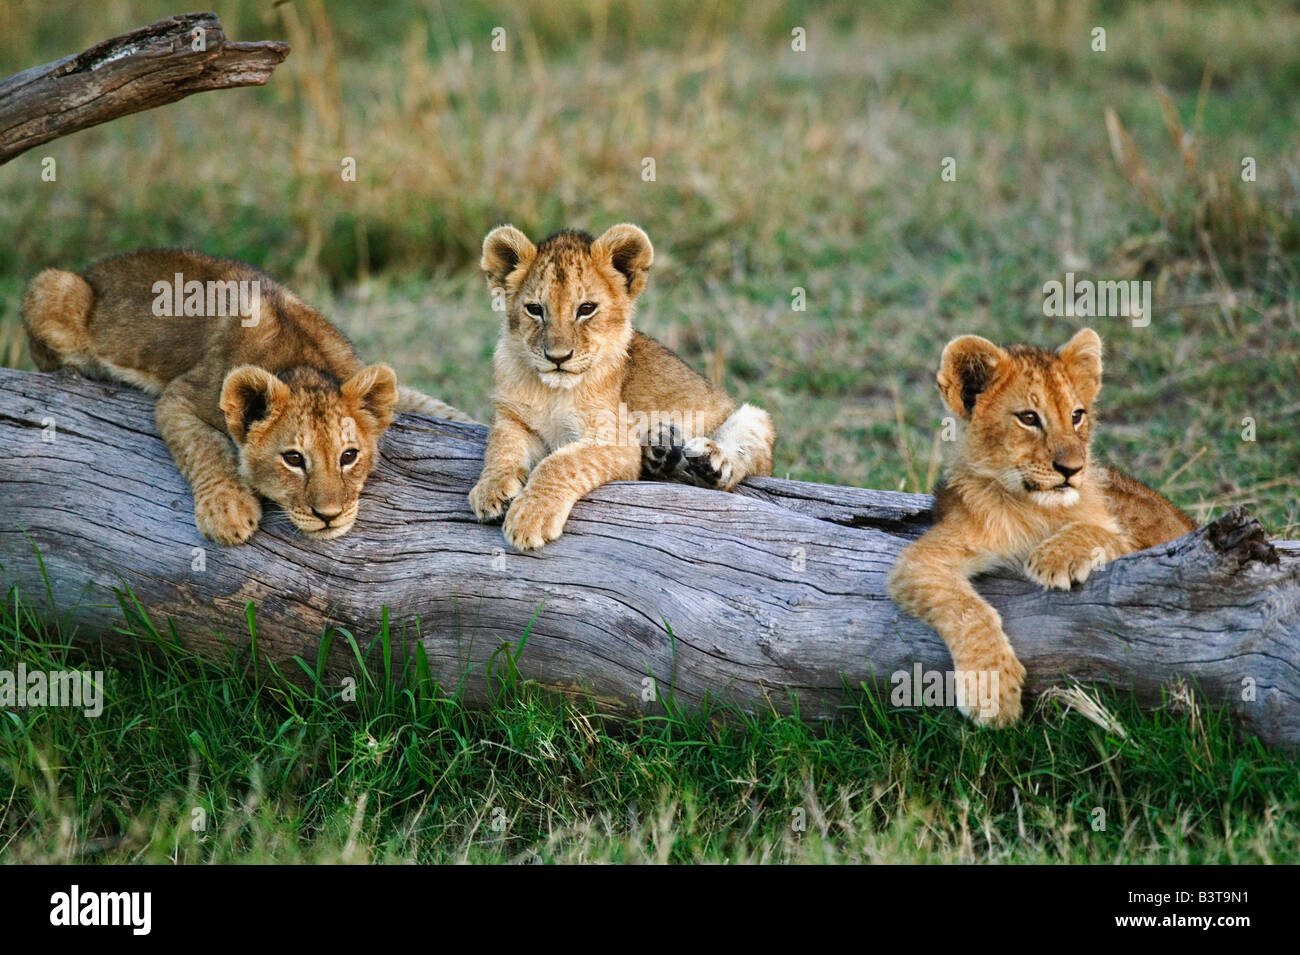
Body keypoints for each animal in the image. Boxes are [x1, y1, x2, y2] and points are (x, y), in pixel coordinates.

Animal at [21, 248, 474, 545]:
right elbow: (206, 447)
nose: (329, 517)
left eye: (349, 456)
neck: (302, 360)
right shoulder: (181, 396)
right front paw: (227, 512)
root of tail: (96, 267)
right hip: (51, 286)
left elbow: (431, 404)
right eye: (293, 459)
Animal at [469, 224, 775, 550]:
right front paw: (490, 490)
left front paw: (530, 516)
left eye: (586, 309)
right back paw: (662, 450)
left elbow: (561, 462)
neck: (552, 390)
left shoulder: (617, 439)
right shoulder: (511, 417)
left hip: (752, 418)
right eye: (535, 309)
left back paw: (707, 462)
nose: (558, 357)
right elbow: (501, 447)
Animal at [886, 328, 1195, 726]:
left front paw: (1055, 557)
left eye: (1077, 416)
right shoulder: (922, 558)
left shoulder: (1157, 543)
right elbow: (967, 609)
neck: (1036, 509)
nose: (1072, 468)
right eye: (1029, 418)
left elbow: (1106, 534)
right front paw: (991, 691)